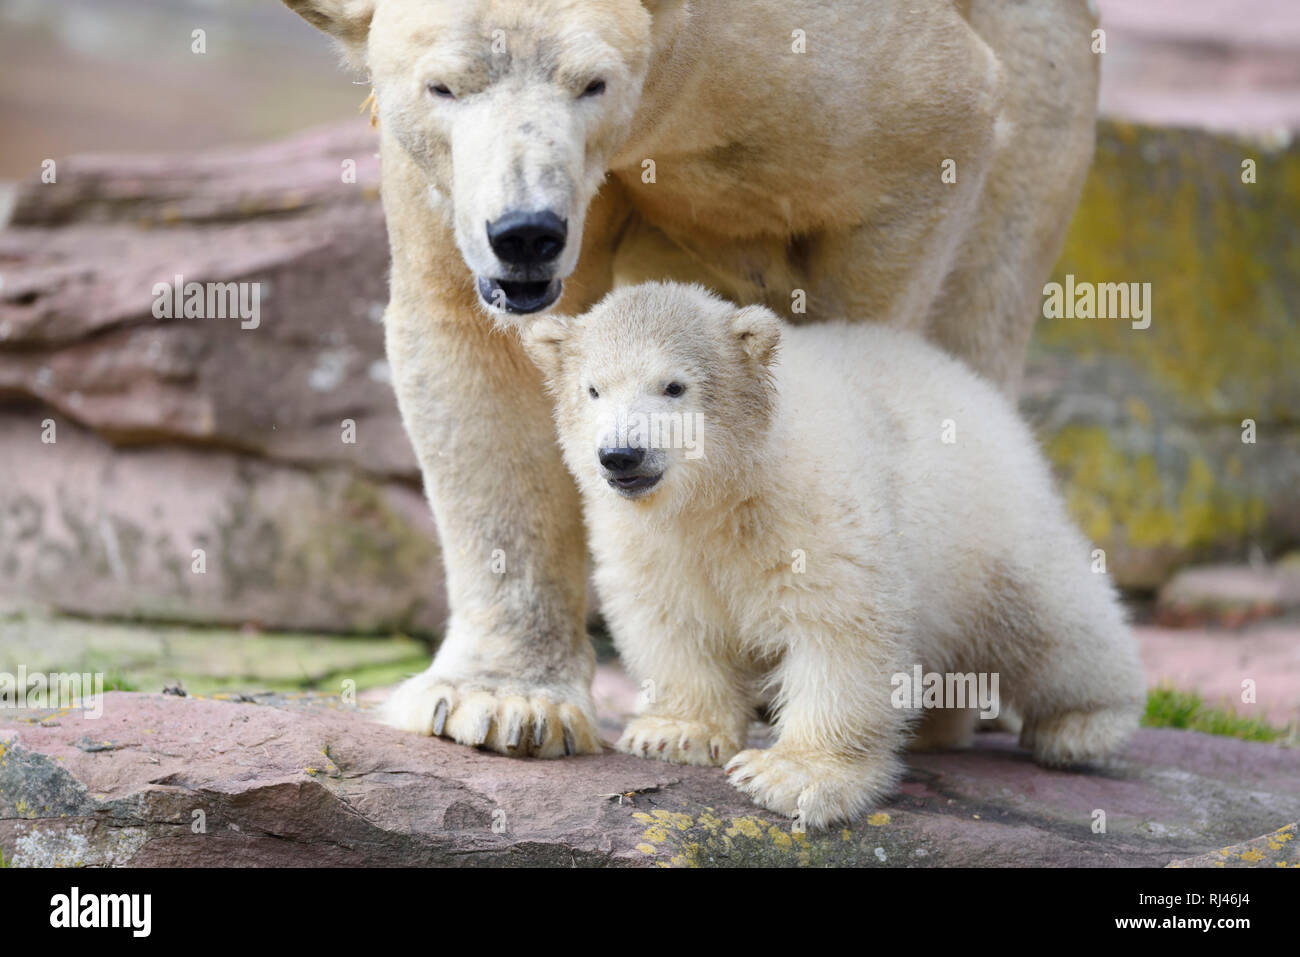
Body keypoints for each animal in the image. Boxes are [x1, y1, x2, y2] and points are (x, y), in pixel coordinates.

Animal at [282, 1, 1097, 754]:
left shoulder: (833, 83)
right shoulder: (444, 177)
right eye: (443, 85)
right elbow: (477, 347)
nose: (526, 233)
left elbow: (920, 148)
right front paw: (502, 700)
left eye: (593, 83)